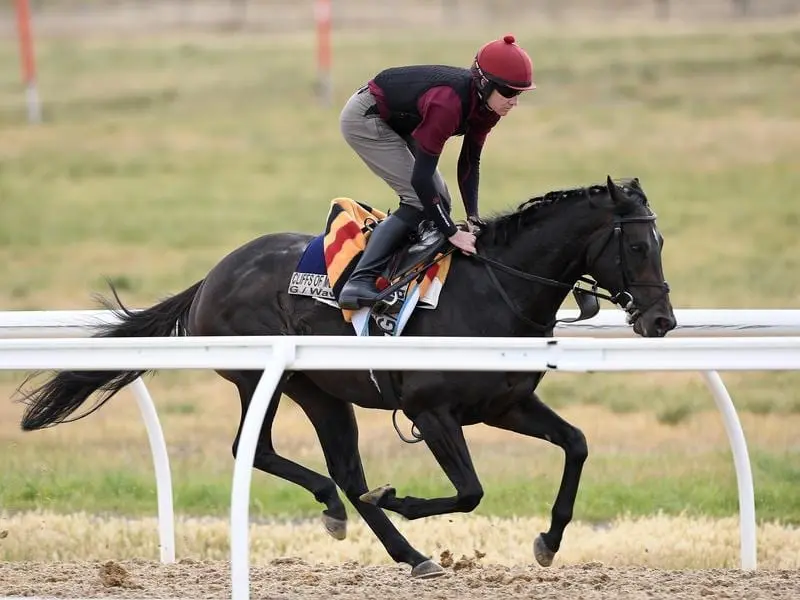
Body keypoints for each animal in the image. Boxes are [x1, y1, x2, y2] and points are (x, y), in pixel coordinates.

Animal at [17, 177, 676, 576]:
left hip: (321, 391)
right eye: (638, 247)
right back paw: (346, 511)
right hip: (265, 377)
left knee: (341, 468)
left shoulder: (503, 405)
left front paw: (549, 541)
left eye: (661, 241)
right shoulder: (433, 412)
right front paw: (401, 498)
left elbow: (577, 444)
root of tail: (212, 276)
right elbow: (470, 491)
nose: (663, 320)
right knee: (259, 450)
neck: (494, 290)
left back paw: (401, 548)